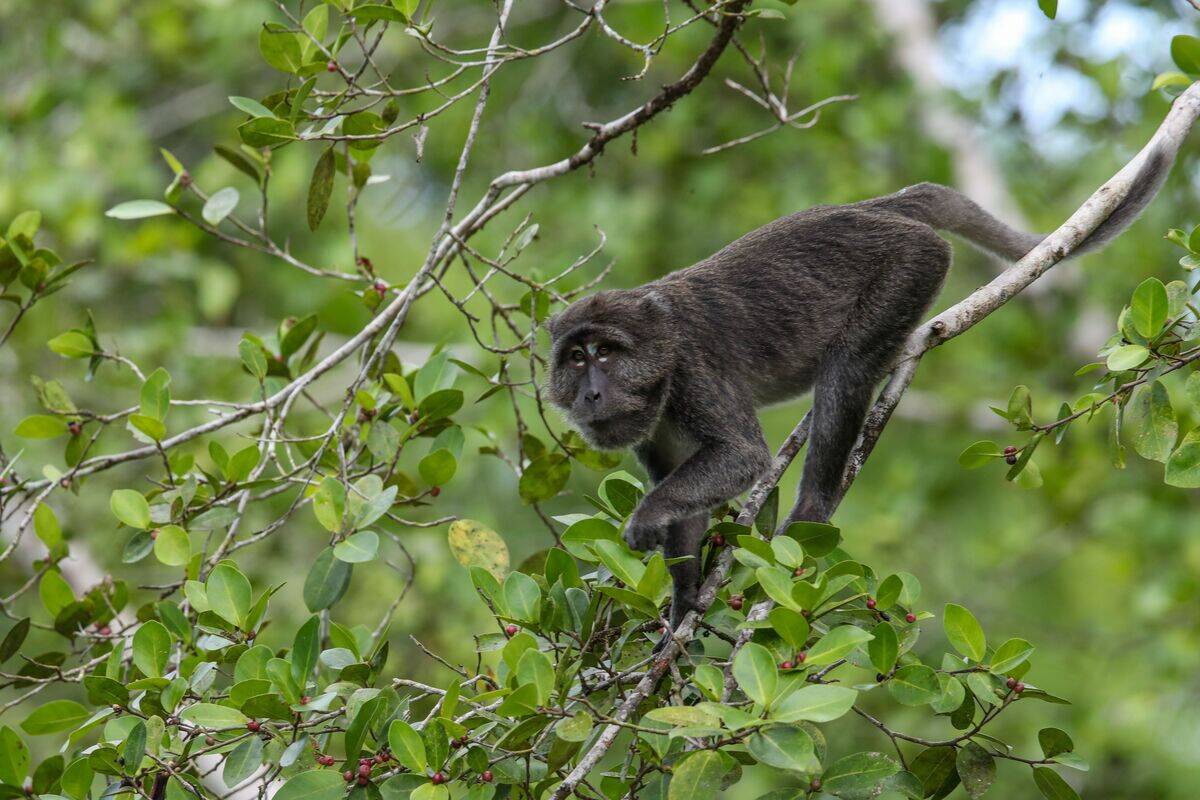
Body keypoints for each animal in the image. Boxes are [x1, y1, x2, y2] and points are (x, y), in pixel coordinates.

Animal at [545, 146, 1172, 634]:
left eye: (605, 354)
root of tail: (867, 209)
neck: (661, 350)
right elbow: (686, 505)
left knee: (844, 373)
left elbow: (742, 456)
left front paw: (647, 520)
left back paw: (812, 515)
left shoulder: (694, 372)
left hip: (913, 263)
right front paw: (681, 610)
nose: (591, 394)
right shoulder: (652, 428)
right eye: (575, 359)